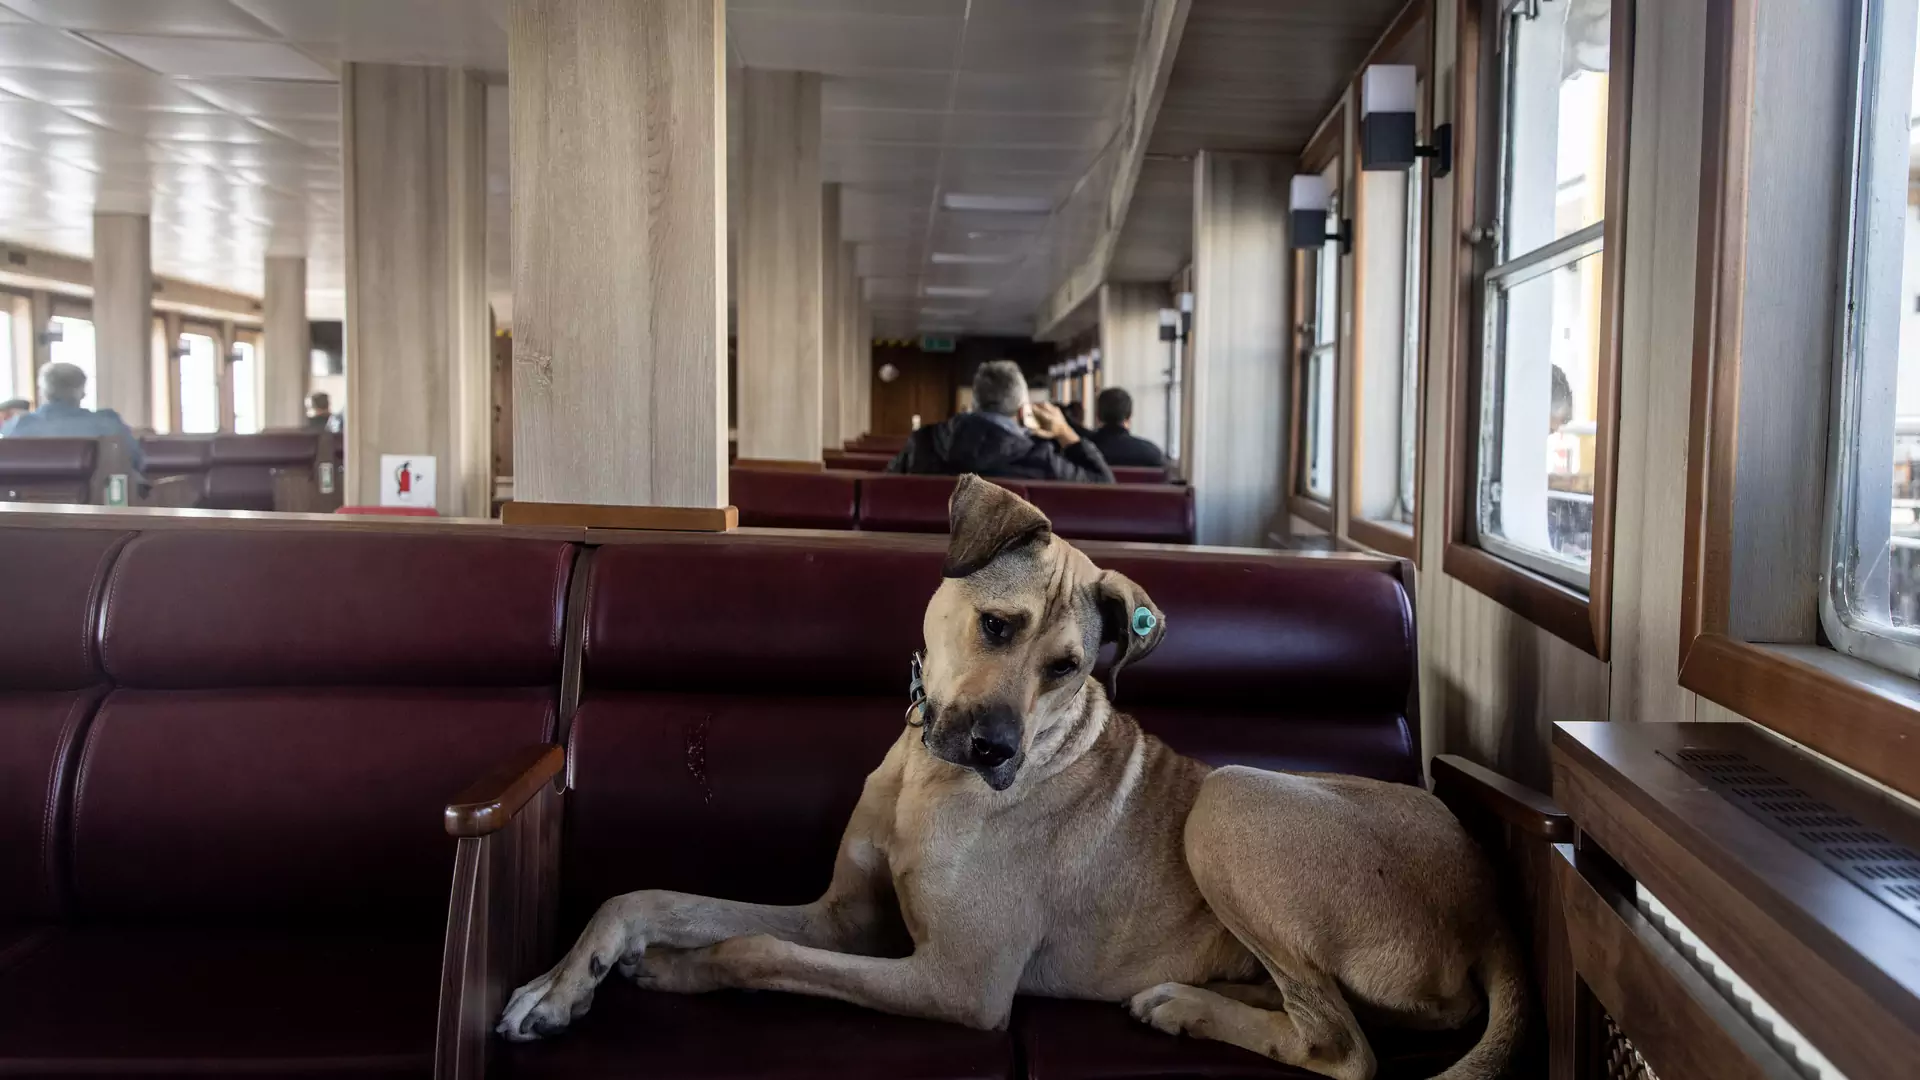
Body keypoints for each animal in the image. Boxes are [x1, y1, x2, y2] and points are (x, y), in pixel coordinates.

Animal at [499, 472, 1528, 1076]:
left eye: (1068, 668)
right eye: (996, 626)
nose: (994, 751)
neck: (928, 777)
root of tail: (1493, 917)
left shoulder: (959, 981)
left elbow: (753, 950)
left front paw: (681, 971)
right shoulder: (846, 918)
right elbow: (651, 896)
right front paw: (562, 983)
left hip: (1232, 795)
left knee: (1343, 1045)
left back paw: (1189, 1008)